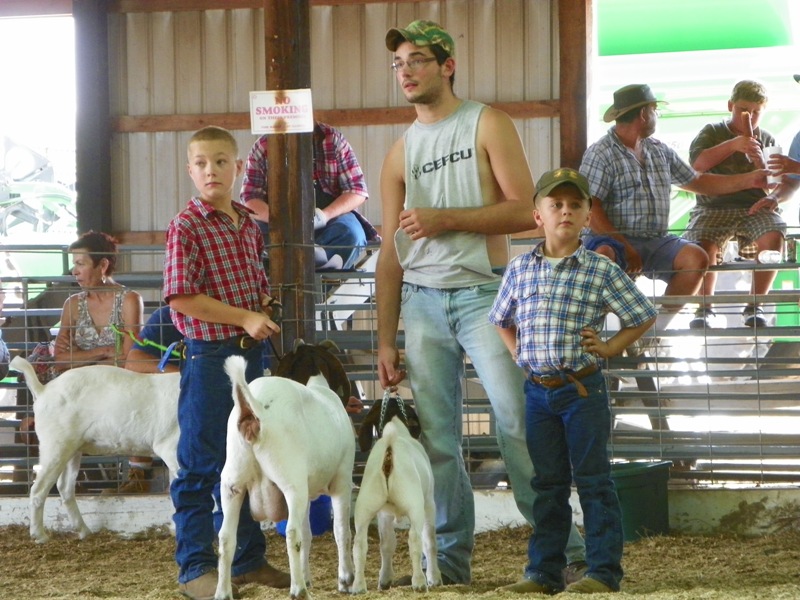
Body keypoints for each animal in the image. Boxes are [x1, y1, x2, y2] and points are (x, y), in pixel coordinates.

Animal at [9, 355, 180, 544]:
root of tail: (43, 390)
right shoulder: (171, 448)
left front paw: (175, 529)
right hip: (54, 445)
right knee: (38, 489)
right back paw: (39, 535)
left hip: (72, 448)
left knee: (65, 487)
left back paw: (84, 531)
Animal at [214, 355, 355, 600]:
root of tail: (253, 409)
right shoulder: (342, 480)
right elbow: (341, 531)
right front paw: (345, 579)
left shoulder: (308, 492)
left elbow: (309, 535)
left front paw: (308, 577)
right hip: (291, 482)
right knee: (292, 534)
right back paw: (298, 590)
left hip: (233, 481)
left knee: (226, 537)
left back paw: (223, 592)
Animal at [350, 392, 441, 593]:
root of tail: (390, 448)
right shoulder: (429, 502)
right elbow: (430, 540)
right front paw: (434, 578)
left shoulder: (384, 512)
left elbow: (387, 544)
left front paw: (385, 579)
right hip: (415, 506)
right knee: (415, 540)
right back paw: (419, 582)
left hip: (365, 506)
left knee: (359, 544)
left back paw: (358, 586)